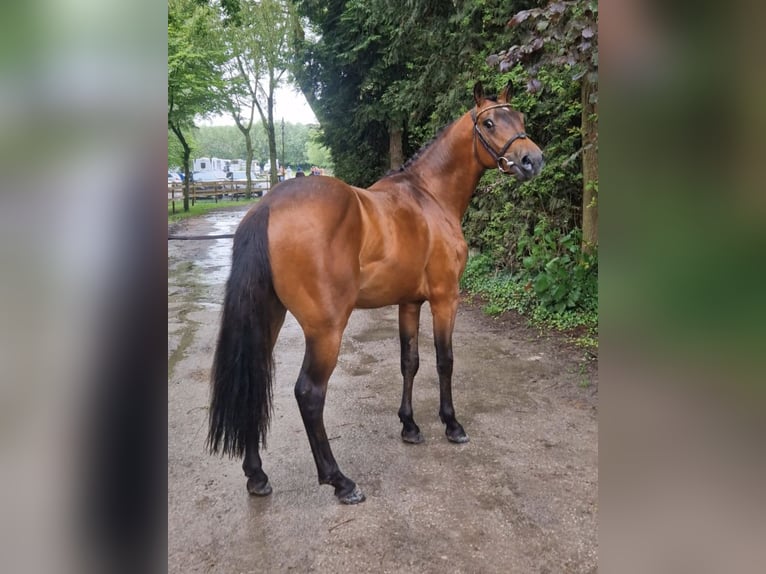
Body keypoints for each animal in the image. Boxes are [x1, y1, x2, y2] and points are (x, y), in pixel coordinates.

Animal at [208, 80, 544, 504]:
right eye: (489, 122)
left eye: (519, 117)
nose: (533, 160)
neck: (429, 197)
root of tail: (267, 205)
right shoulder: (445, 298)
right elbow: (445, 361)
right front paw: (451, 425)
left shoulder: (409, 302)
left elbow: (409, 361)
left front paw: (410, 426)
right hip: (326, 331)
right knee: (309, 393)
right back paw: (339, 480)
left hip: (269, 317)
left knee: (254, 382)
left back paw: (256, 475)